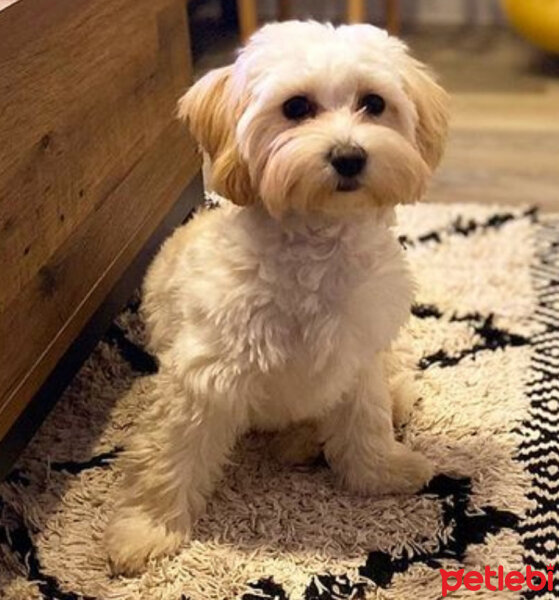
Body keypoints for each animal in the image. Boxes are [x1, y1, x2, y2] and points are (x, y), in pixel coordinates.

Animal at [105, 18, 450, 576]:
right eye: (296, 107)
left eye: (374, 103)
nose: (349, 157)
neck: (315, 250)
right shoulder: (204, 377)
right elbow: (170, 455)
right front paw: (145, 528)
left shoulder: (358, 358)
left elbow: (367, 419)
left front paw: (380, 471)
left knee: (390, 391)